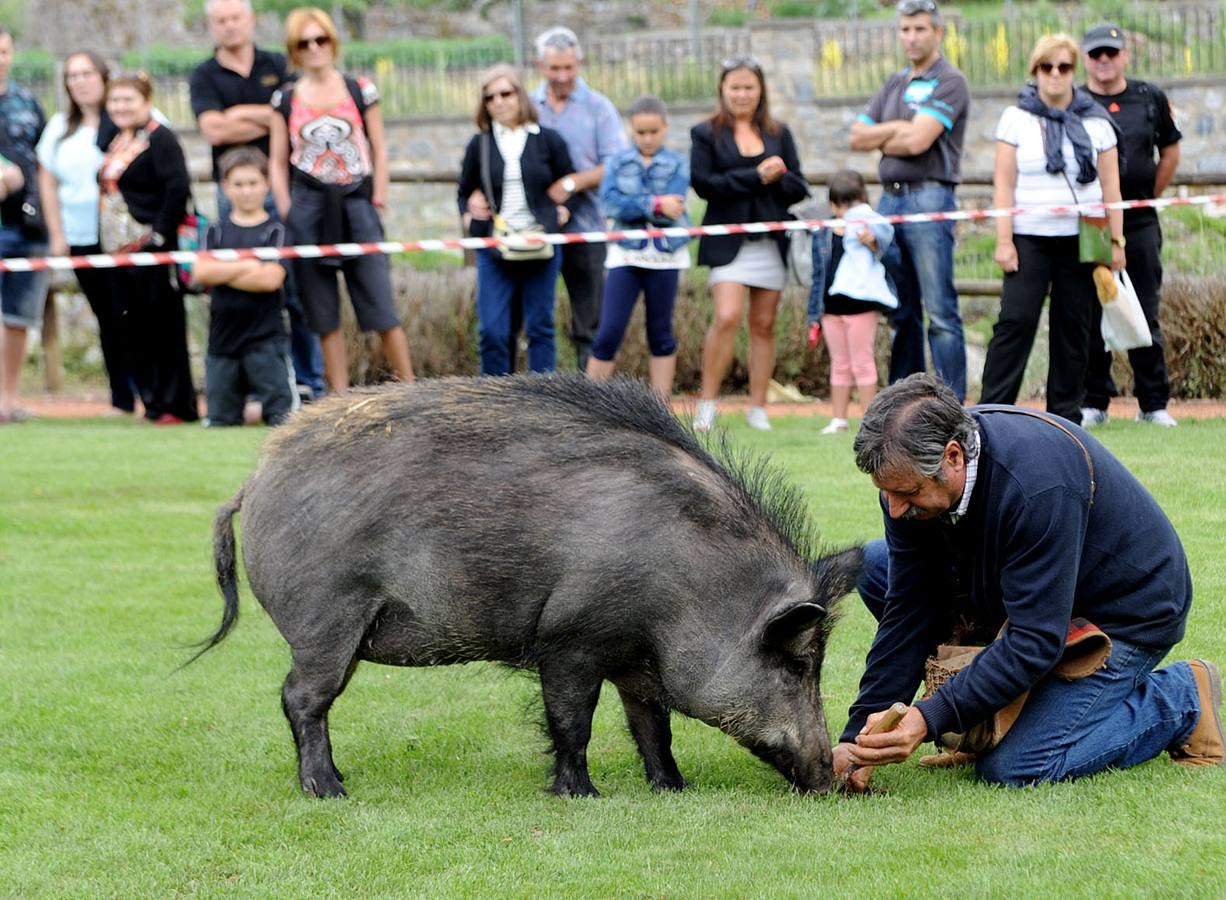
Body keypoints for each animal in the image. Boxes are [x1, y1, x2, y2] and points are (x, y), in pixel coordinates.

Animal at [196, 377, 858, 799]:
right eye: (799, 664)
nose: (831, 779)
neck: (686, 583)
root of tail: (253, 483)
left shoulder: (635, 660)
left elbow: (652, 724)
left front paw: (675, 788)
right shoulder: (569, 640)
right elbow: (572, 721)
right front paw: (581, 795)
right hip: (326, 621)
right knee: (301, 698)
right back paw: (330, 791)